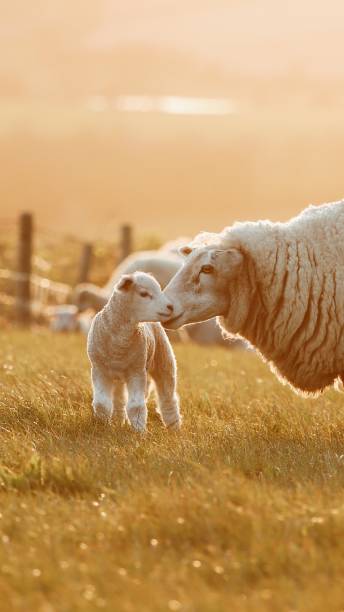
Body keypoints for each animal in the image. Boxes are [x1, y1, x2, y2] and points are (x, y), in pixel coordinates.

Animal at [87, 270, 181, 432]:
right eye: (144, 294)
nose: (170, 307)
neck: (118, 344)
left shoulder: (136, 371)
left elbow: (136, 406)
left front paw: (139, 432)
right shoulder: (99, 370)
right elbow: (102, 403)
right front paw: (102, 427)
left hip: (164, 361)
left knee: (168, 398)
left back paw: (174, 429)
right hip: (118, 376)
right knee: (119, 400)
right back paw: (118, 421)